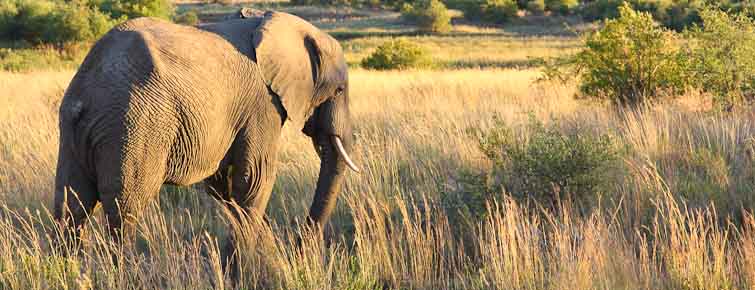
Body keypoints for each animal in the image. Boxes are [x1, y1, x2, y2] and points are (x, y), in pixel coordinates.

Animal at [53, 7, 360, 274]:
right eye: (339, 90)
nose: (299, 257)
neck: (271, 19)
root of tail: (86, 93)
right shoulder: (262, 106)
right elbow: (254, 180)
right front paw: (241, 275)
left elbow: (225, 186)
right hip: (134, 125)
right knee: (123, 211)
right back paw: (125, 275)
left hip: (76, 132)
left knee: (71, 206)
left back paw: (67, 272)